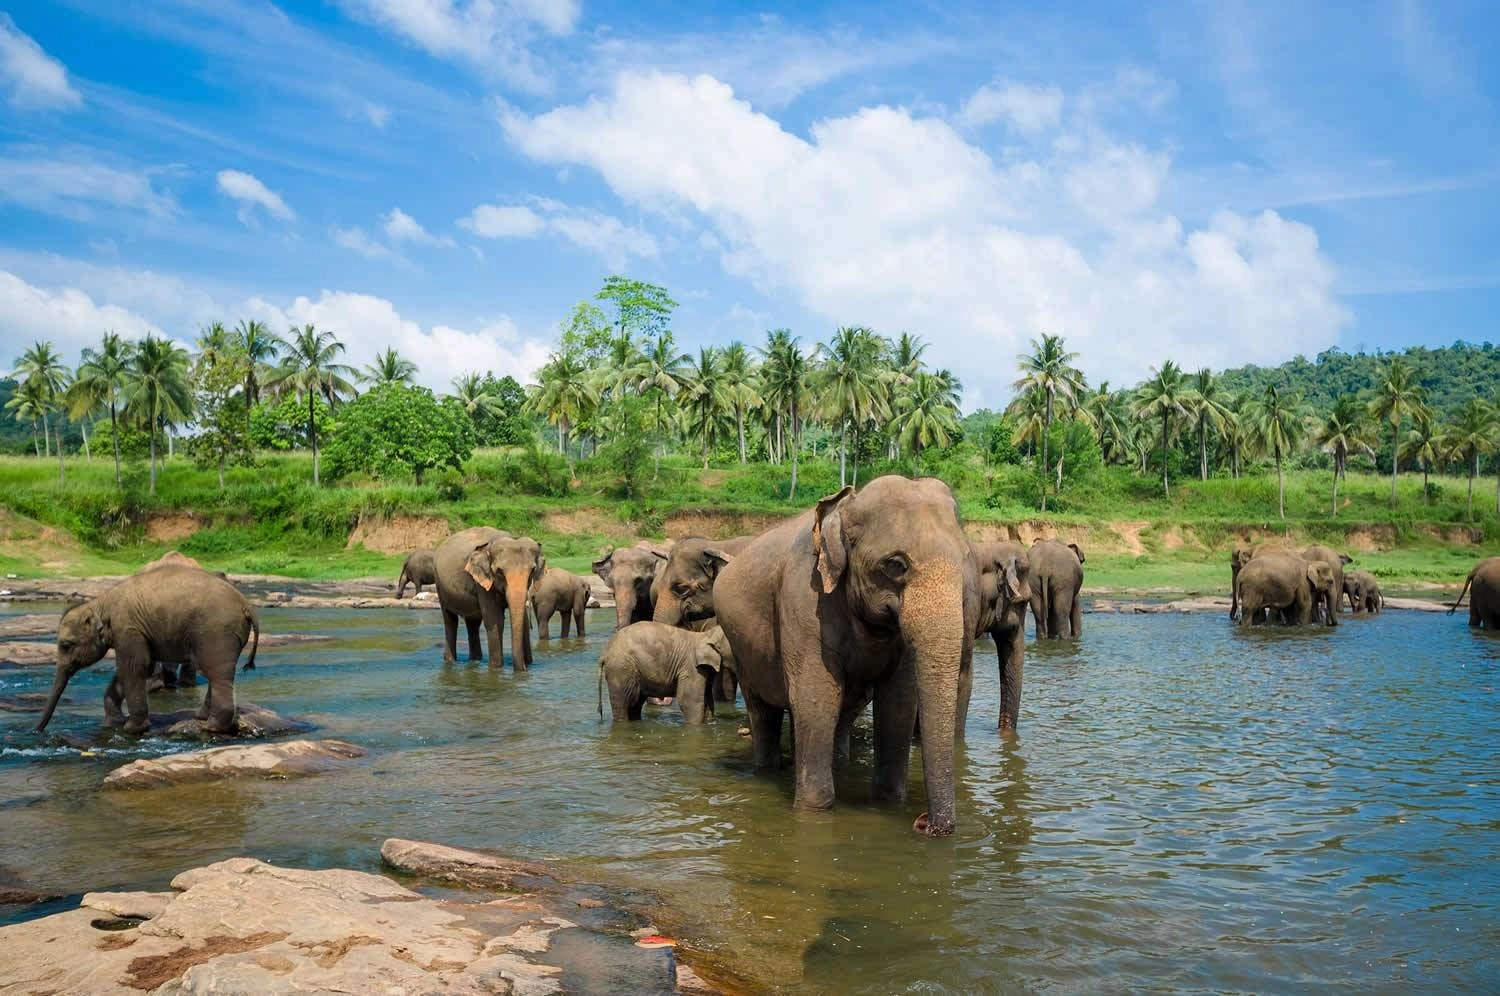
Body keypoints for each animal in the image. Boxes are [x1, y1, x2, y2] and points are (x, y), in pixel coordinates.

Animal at [35, 565, 260, 735]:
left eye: (66, 645)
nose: (37, 730)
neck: (100, 603)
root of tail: (246, 605)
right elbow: (133, 668)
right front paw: (112, 724)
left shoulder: (127, 629)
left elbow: (133, 667)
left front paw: (131, 729)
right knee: (217, 671)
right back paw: (202, 717)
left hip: (217, 632)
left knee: (216, 671)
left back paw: (212, 727)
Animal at [433, 527, 544, 669]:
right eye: (499, 572)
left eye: (532, 571)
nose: (524, 668)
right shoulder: (482, 582)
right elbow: (495, 619)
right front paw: (496, 668)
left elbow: (522, 619)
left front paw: (528, 664)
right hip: (440, 586)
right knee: (450, 620)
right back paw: (450, 661)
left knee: (473, 623)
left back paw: (475, 660)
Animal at [596, 622, 735, 724]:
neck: (706, 635)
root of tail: (604, 653)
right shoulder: (691, 668)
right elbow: (689, 700)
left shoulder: (705, 669)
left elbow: (708, 700)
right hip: (620, 670)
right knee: (624, 704)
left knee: (635, 703)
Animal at [715, 475, 978, 838]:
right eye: (895, 565)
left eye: (965, 559)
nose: (924, 823)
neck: (846, 506)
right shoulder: (804, 599)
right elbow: (816, 697)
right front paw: (814, 812)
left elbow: (897, 702)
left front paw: (887, 804)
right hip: (741, 648)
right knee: (763, 711)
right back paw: (768, 771)